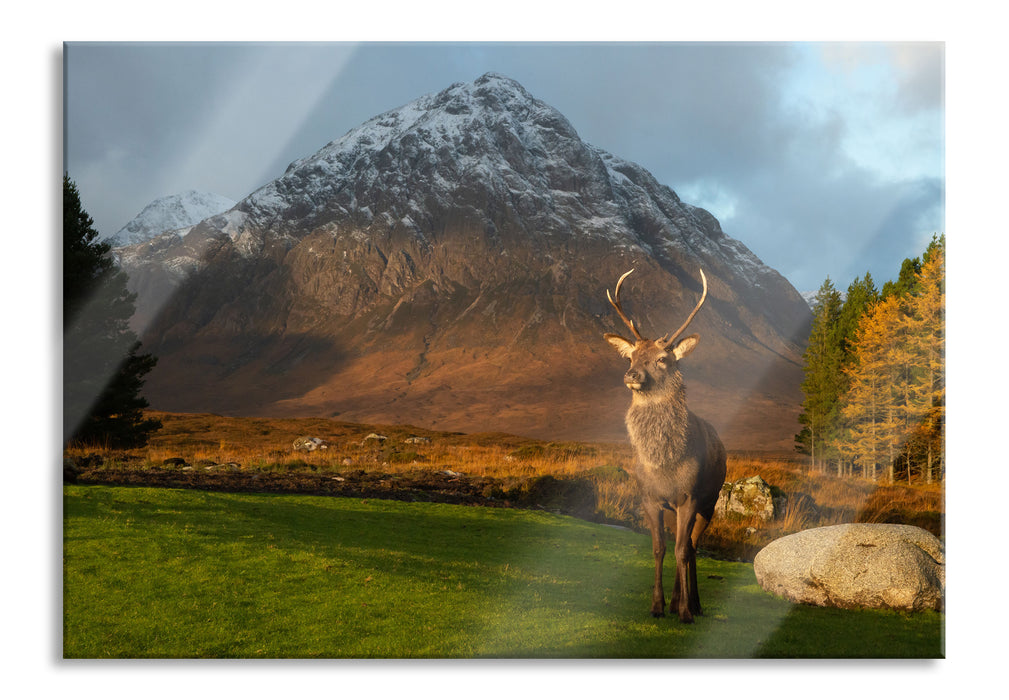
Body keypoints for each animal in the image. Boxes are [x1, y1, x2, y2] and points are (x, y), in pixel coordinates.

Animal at [605, 268, 726, 625]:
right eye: (632, 355)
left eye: (662, 359)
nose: (631, 374)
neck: (665, 463)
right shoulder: (650, 498)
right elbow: (659, 549)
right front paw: (657, 605)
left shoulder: (690, 497)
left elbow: (682, 550)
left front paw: (686, 611)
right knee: (680, 545)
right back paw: (675, 602)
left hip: (710, 501)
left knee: (691, 547)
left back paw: (693, 604)